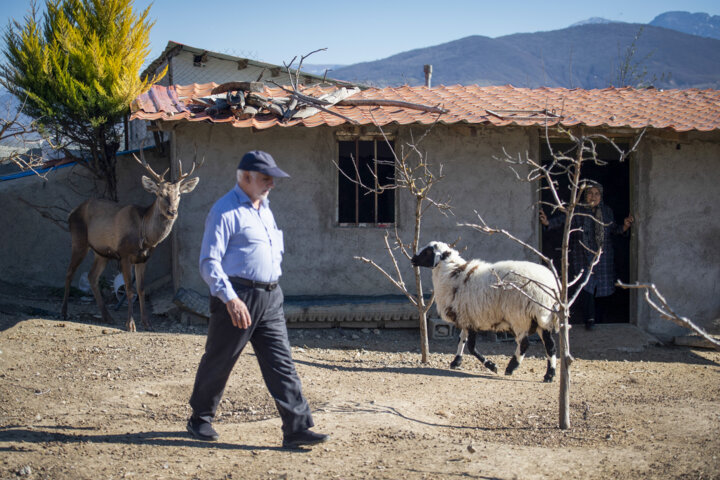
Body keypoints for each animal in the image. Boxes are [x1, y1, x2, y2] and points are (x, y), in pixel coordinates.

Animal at [61, 148, 202, 332]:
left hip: (101, 253)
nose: (172, 211)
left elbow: (141, 289)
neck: (145, 235)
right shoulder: (124, 254)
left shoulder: (143, 258)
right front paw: (130, 324)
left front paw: (147, 322)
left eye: (178, 194)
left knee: (92, 276)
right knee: (69, 272)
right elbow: (129, 289)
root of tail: (71, 213)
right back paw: (64, 312)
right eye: (160, 194)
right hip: (79, 240)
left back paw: (107, 316)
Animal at [410, 240, 564, 382]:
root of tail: (552, 286)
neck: (451, 274)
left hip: (520, 316)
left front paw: (491, 365)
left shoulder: (470, 318)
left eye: (427, 252)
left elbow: (471, 347)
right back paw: (549, 375)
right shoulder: (465, 317)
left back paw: (511, 367)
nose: (413, 259)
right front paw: (456, 361)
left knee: (525, 343)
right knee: (550, 346)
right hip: (541, 317)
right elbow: (461, 339)